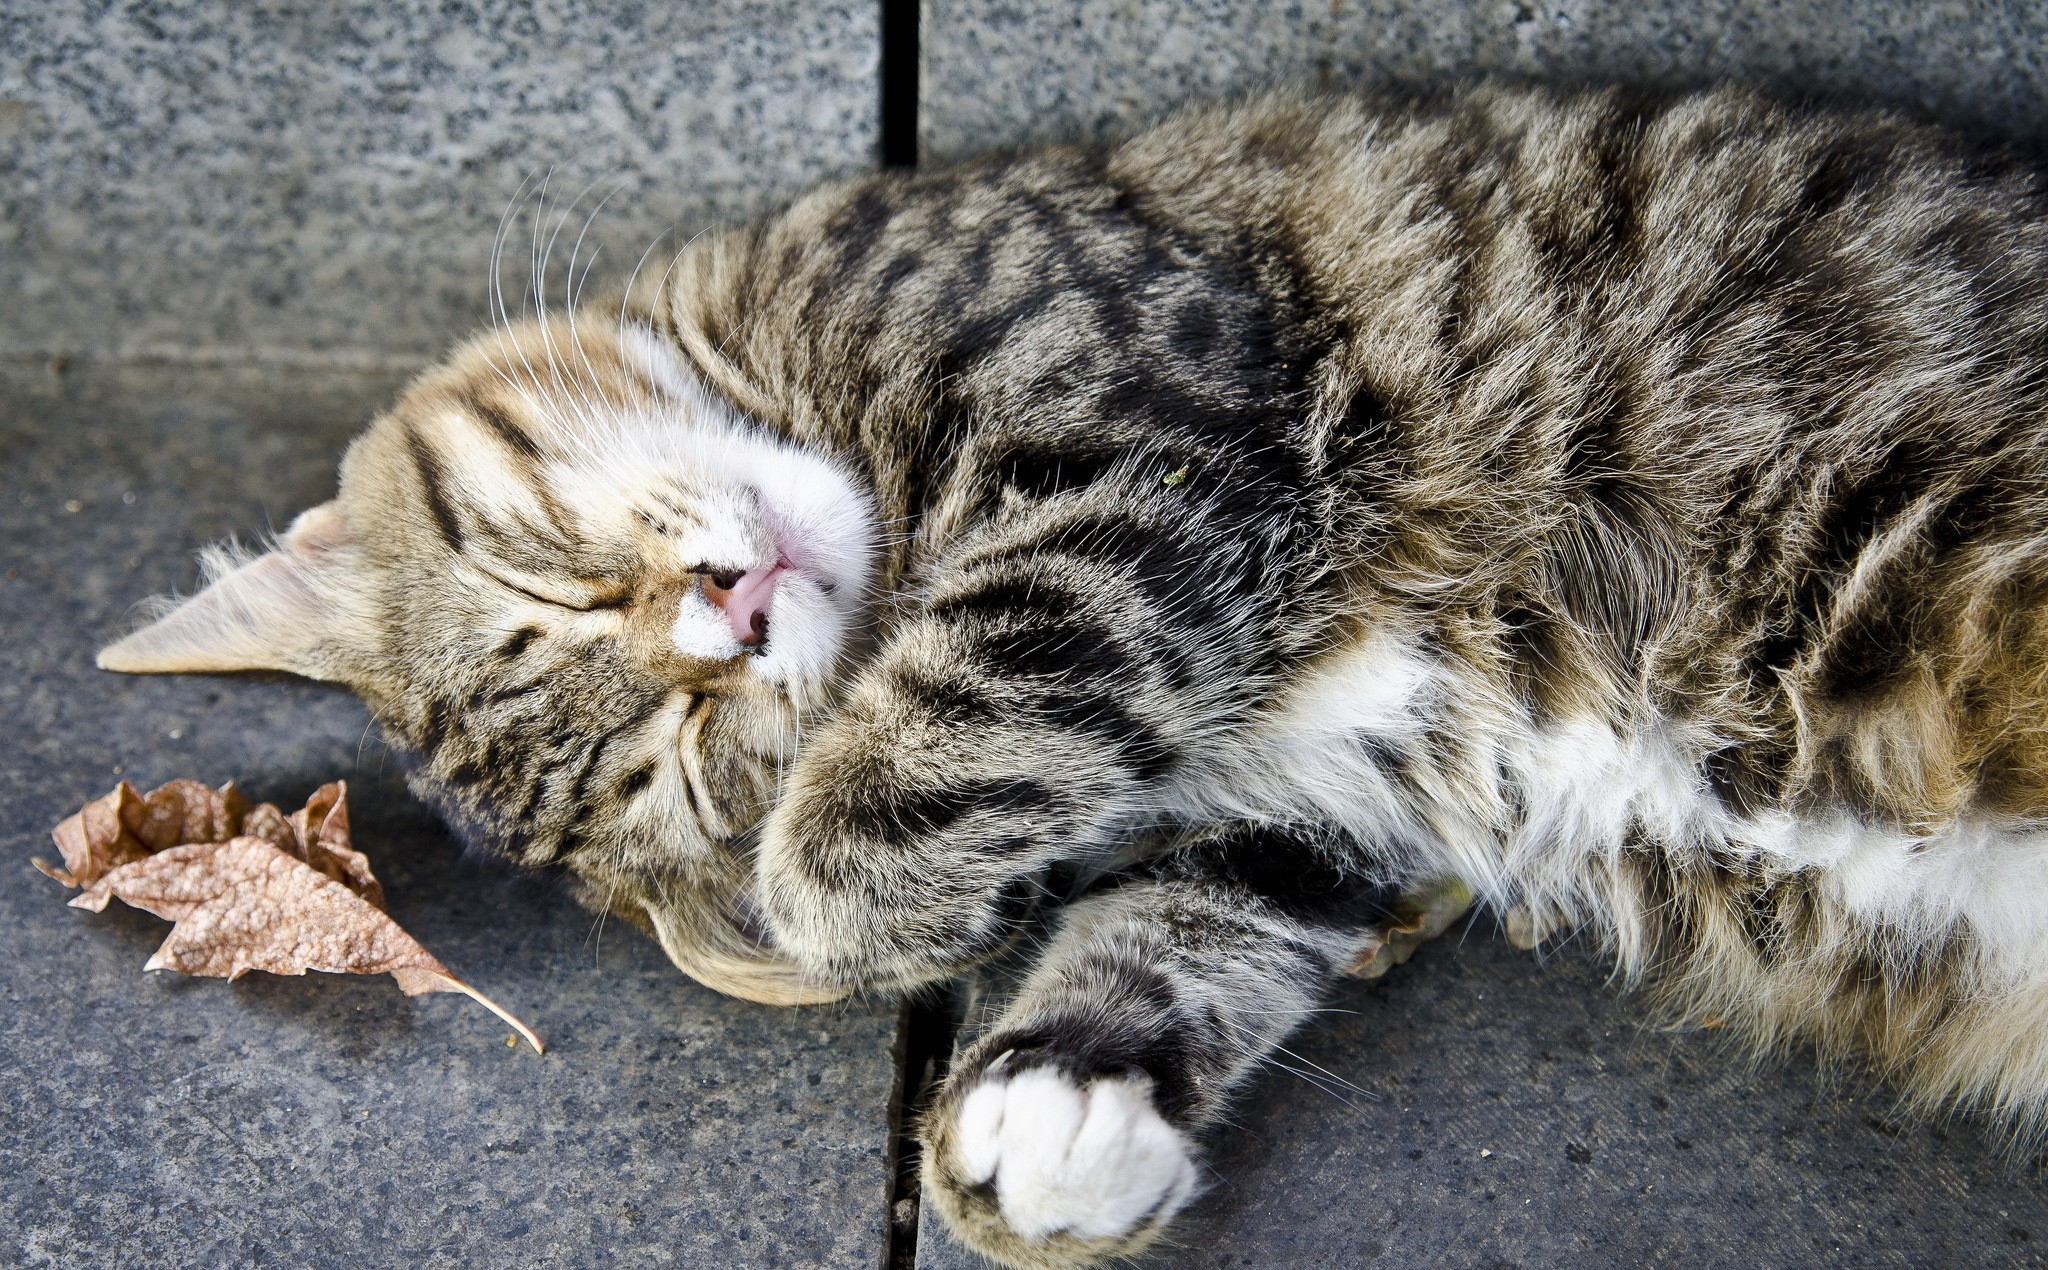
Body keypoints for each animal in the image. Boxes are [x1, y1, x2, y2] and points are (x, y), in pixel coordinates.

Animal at [103, 81, 2048, 1270]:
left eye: (548, 592)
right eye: (689, 755)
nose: (728, 613)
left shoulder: (1137, 413)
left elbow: (910, 773)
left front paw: (871, 898)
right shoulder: (1319, 792)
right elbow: (1195, 906)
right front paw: (1064, 1093)